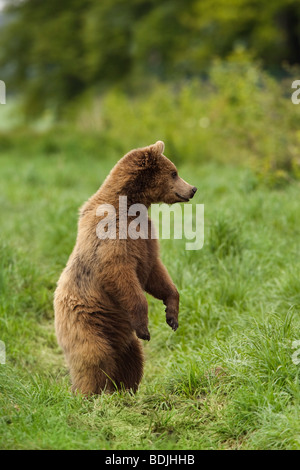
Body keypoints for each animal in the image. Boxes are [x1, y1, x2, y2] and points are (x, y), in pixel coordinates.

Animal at [54, 141, 197, 394]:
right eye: (174, 172)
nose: (193, 189)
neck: (131, 206)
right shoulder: (112, 235)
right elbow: (120, 274)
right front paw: (144, 328)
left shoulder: (146, 239)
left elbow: (155, 273)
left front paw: (172, 316)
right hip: (85, 323)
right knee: (94, 357)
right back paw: (90, 393)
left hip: (124, 339)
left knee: (132, 360)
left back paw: (124, 390)